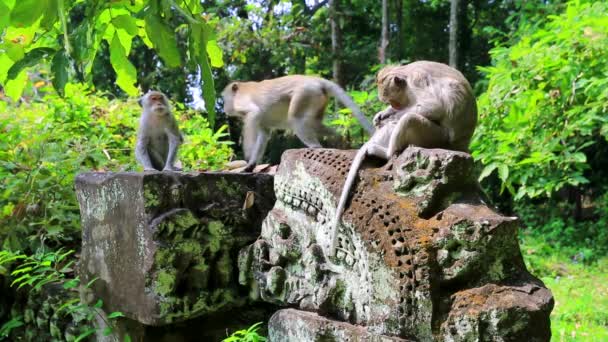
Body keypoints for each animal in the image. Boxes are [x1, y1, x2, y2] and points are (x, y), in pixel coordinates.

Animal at [223, 75, 376, 171]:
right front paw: (251, 165)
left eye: (224, 99)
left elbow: (254, 112)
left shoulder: (241, 102)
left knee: (296, 119)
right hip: (318, 98)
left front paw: (248, 154)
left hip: (305, 93)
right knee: (315, 123)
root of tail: (316, 80)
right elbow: (263, 135)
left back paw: (316, 147)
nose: (224, 107)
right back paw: (339, 139)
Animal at [330, 60, 478, 256]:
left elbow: (433, 107)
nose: (394, 106)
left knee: (410, 119)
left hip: (436, 138)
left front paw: (391, 116)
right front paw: (382, 114)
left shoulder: (418, 81)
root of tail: (462, 144)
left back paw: (385, 151)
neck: (406, 74)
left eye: (394, 100)